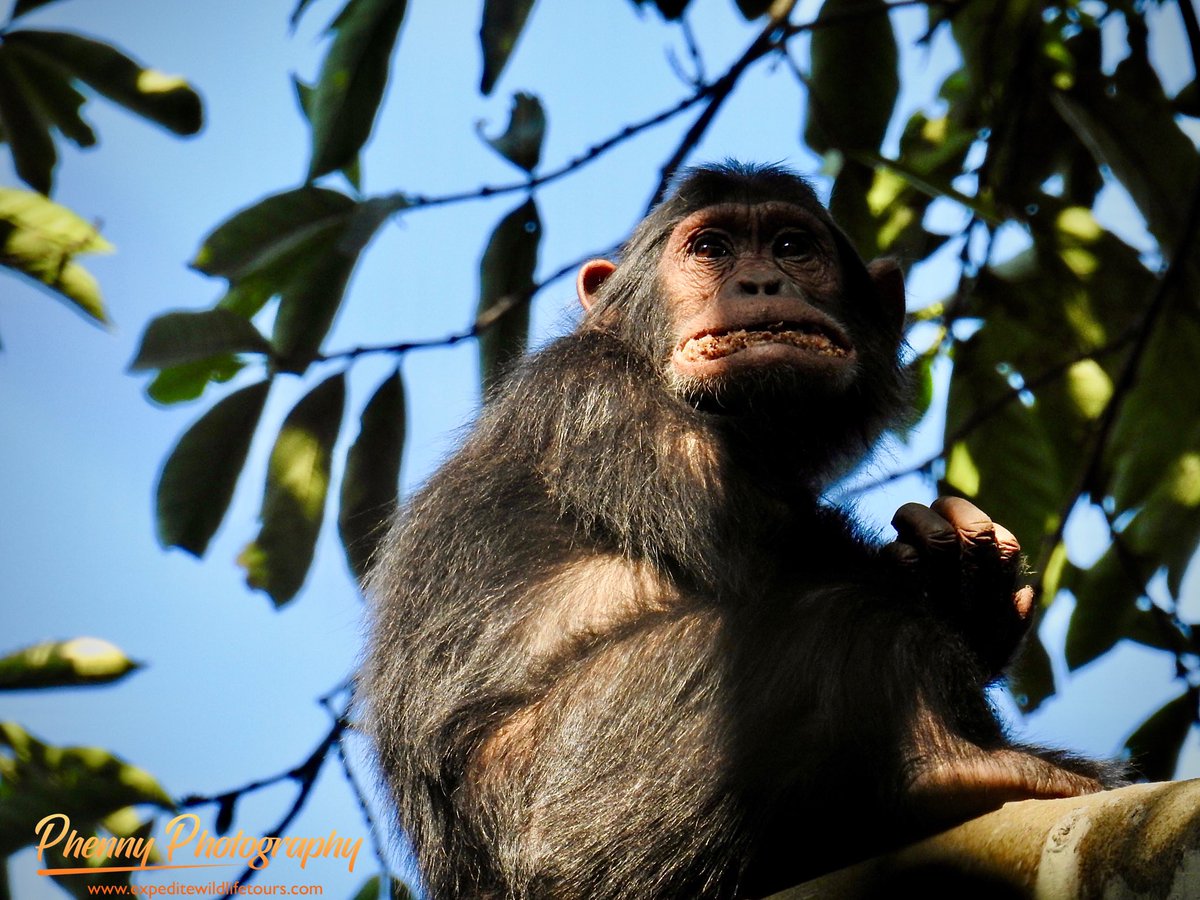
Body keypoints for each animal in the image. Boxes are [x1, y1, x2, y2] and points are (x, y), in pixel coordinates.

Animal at [361, 162, 1122, 899]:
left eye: (791, 246)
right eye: (710, 249)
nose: (759, 281)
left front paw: (967, 575)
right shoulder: (595, 392)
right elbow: (751, 541)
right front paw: (963, 590)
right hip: (594, 792)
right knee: (837, 609)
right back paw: (951, 762)